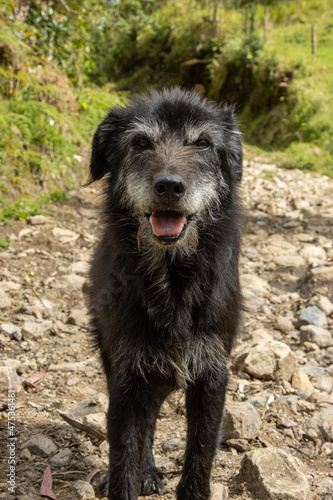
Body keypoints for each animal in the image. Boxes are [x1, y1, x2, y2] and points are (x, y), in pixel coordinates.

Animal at [87, 88, 243, 498]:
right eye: (141, 142)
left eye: (203, 143)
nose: (169, 186)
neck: (173, 279)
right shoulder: (128, 374)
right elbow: (124, 453)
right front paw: (130, 475)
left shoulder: (211, 374)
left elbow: (201, 451)